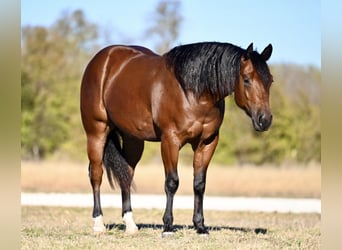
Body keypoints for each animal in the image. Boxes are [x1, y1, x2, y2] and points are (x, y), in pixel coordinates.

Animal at [79, 41, 272, 236]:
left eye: (270, 80)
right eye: (246, 79)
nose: (265, 120)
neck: (193, 92)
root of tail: (103, 58)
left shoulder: (207, 142)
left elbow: (199, 184)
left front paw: (200, 226)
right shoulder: (170, 141)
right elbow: (172, 182)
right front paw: (168, 226)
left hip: (133, 139)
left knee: (126, 174)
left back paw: (130, 225)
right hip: (96, 132)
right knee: (96, 174)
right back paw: (98, 224)